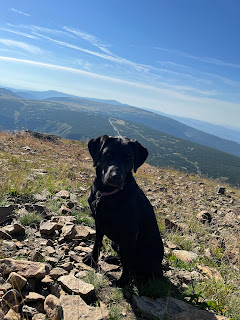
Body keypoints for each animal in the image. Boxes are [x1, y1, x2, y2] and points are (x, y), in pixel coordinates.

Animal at [83, 135, 164, 284]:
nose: (116, 176)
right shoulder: (99, 223)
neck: (109, 193)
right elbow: (97, 243)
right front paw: (92, 259)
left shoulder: (130, 234)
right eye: (108, 154)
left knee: (138, 268)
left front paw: (123, 282)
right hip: (116, 243)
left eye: (128, 157)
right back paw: (112, 258)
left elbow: (127, 261)